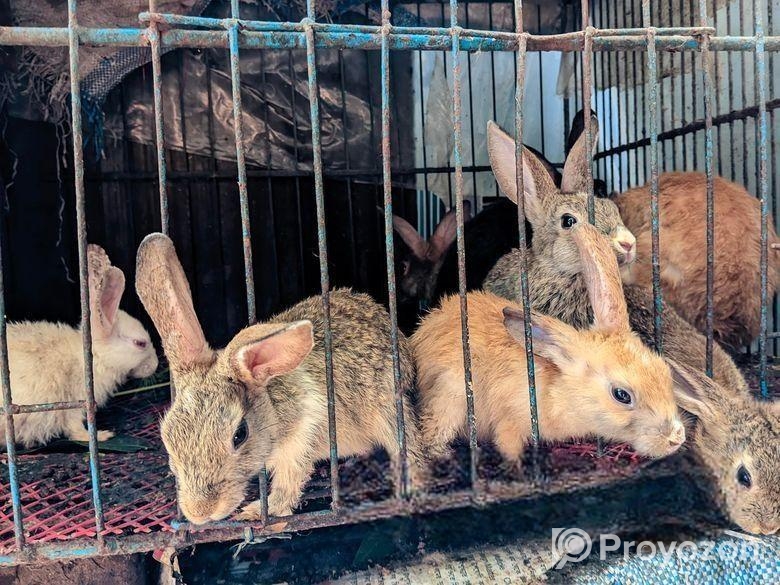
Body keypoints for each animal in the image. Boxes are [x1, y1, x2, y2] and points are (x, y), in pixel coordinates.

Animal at [3, 244, 159, 449]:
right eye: (140, 343)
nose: (156, 365)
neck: (92, 358)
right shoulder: (76, 402)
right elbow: (76, 429)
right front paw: (102, 435)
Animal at [134, 233, 424, 523]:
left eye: (239, 435)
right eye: (168, 438)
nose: (200, 512)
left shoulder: (300, 440)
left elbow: (288, 484)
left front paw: (255, 512)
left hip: (389, 410)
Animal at [412, 222, 686, 474]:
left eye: (665, 372)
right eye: (622, 395)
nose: (676, 438)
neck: (559, 389)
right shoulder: (511, 419)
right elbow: (508, 444)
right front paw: (517, 468)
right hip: (452, 395)